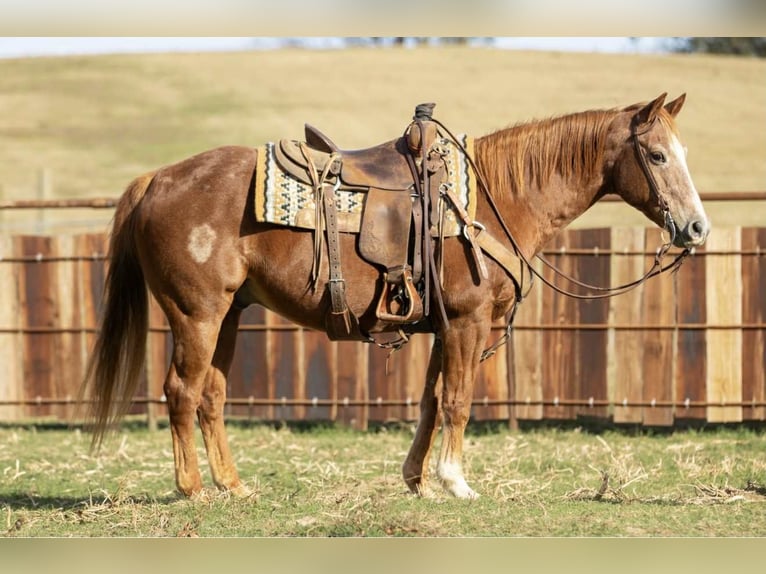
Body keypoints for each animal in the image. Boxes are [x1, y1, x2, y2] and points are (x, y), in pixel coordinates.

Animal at [80, 92, 709, 500]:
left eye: (683, 154)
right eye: (657, 156)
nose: (696, 228)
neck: (495, 199)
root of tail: (158, 179)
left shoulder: (444, 327)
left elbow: (431, 400)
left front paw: (417, 481)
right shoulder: (467, 322)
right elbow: (457, 400)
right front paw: (456, 483)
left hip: (230, 314)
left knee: (211, 394)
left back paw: (232, 486)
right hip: (197, 313)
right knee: (181, 391)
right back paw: (192, 489)